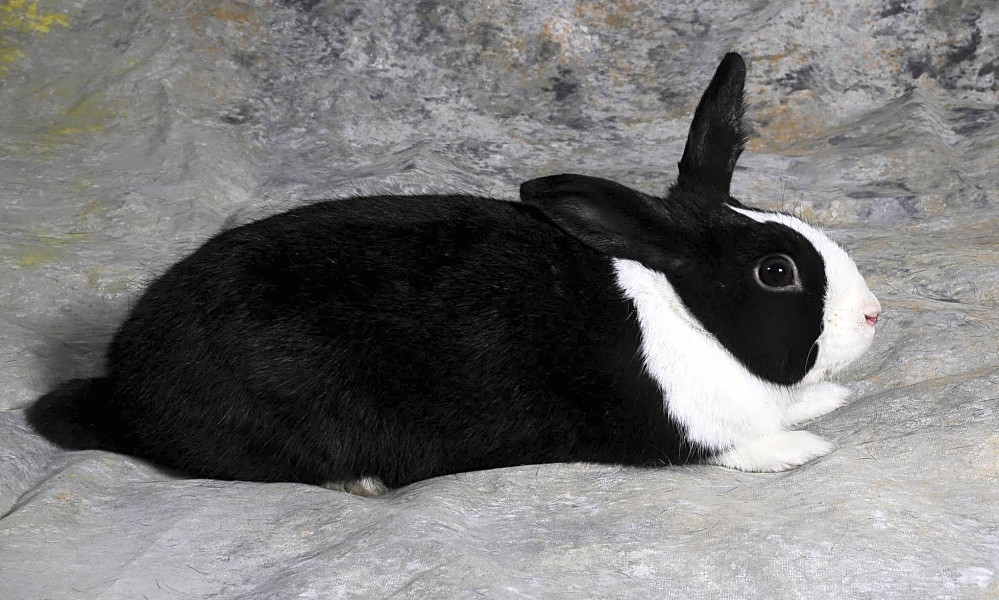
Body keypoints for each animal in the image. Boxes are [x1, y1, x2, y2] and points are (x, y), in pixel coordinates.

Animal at [29, 53, 881, 495]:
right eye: (776, 271)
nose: (872, 316)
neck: (683, 314)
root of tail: (123, 389)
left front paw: (827, 400)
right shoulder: (675, 425)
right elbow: (725, 447)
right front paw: (798, 449)